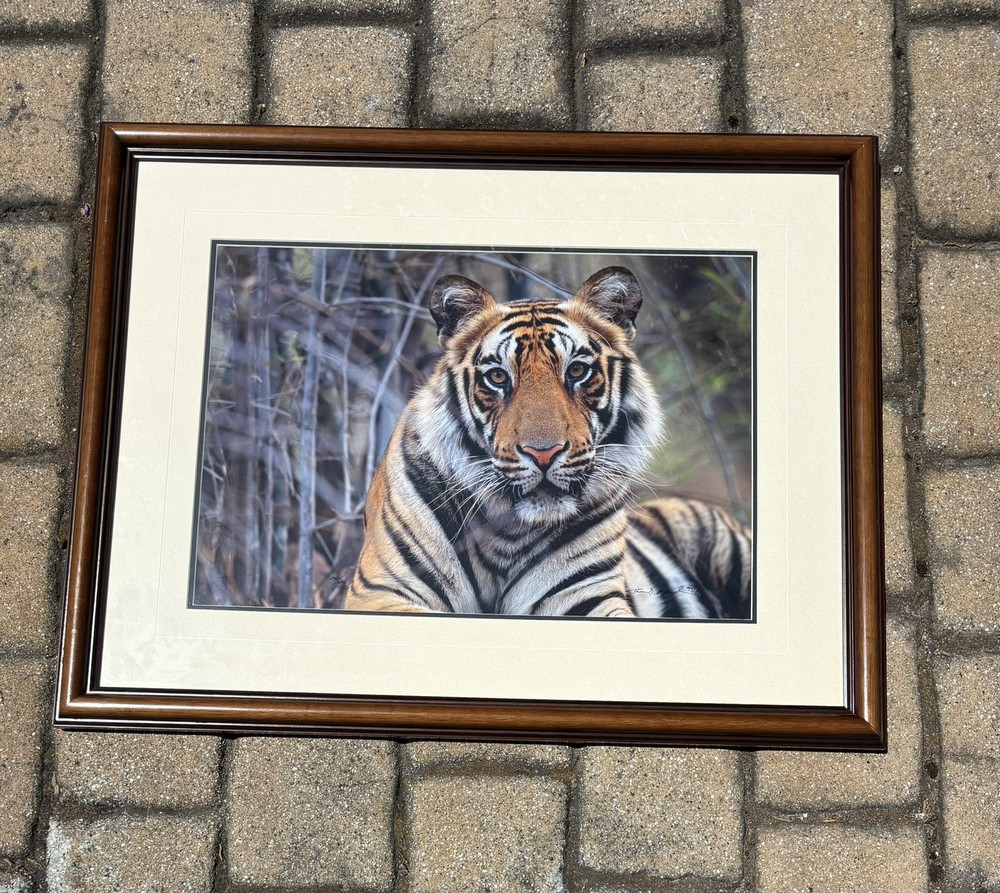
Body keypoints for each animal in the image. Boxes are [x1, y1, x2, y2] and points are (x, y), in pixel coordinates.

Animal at [343, 266, 751, 619]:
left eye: (577, 370)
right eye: (497, 377)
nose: (543, 453)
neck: (506, 535)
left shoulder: (586, 596)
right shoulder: (381, 591)